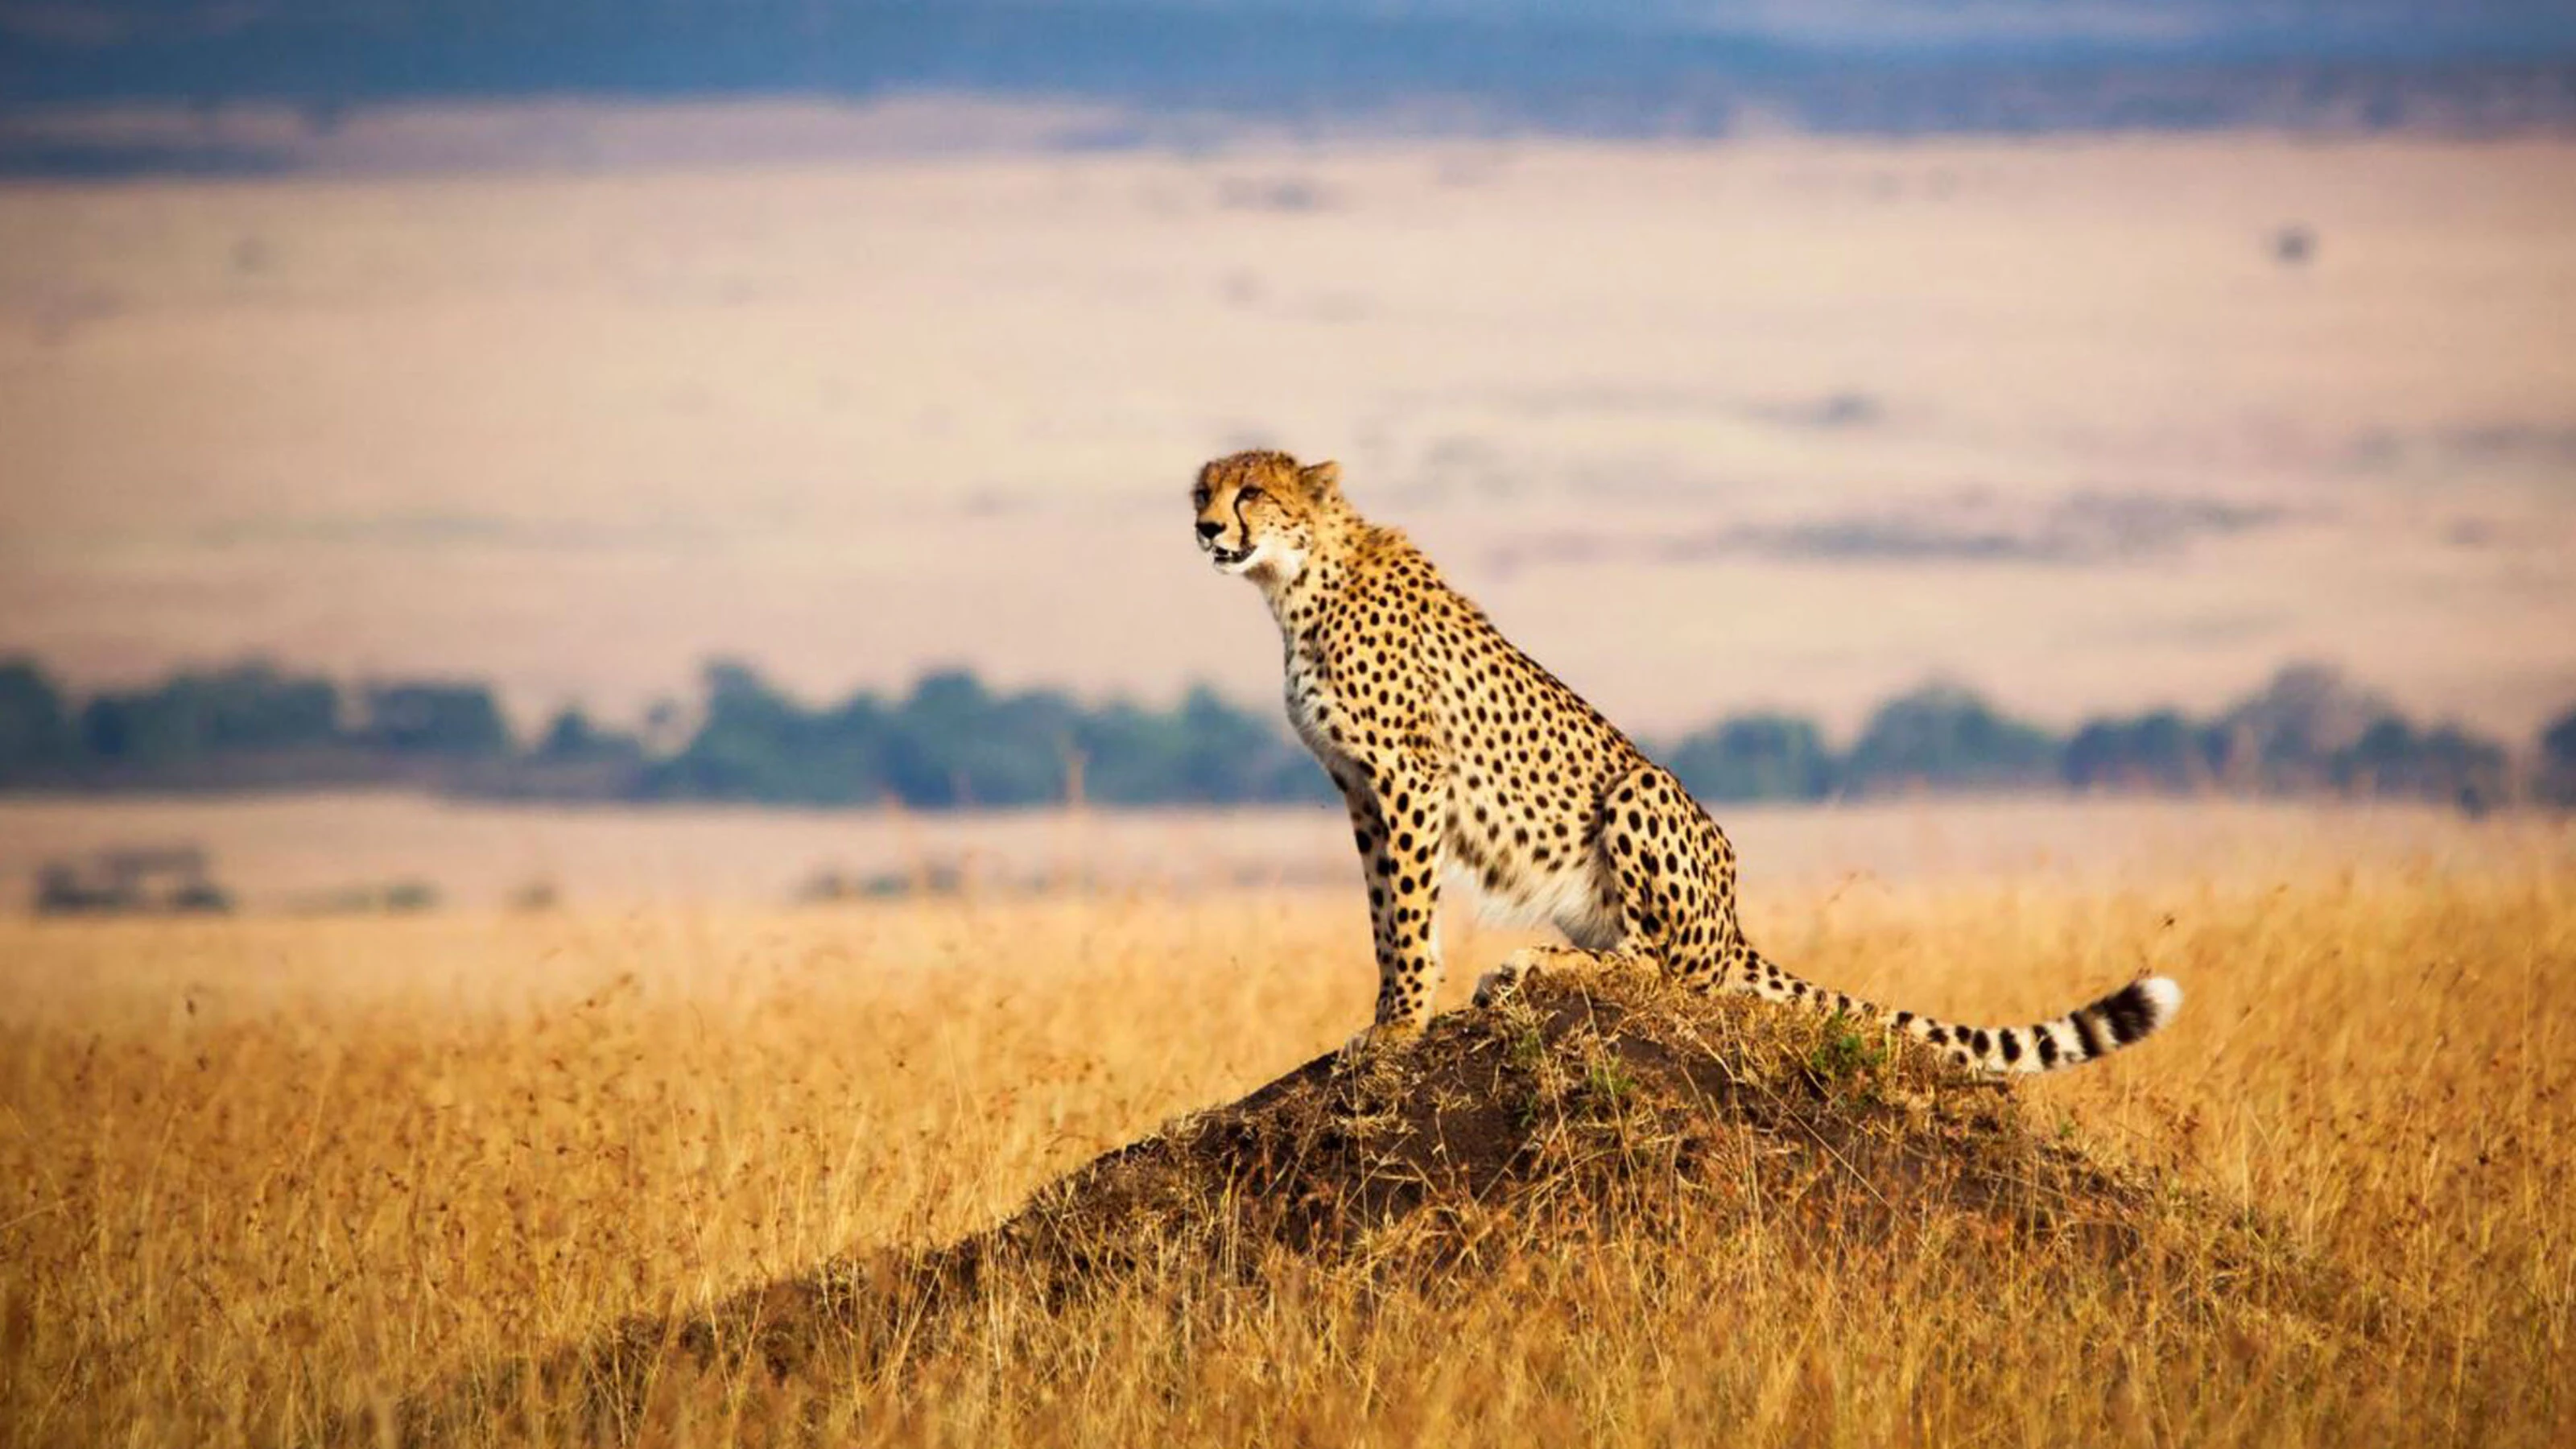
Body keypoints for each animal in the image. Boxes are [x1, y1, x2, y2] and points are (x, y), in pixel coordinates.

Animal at [1192, 448, 2182, 1072]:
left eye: (1251, 492)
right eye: (1201, 490)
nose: (1205, 529)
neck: (1295, 581)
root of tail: (1734, 920)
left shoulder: (1405, 778)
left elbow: (1404, 915)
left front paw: (1398, 1027)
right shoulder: (1358, 790)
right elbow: (1383, 914)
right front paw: (1389, 1014)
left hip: (1641, 789)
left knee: (1668, 969)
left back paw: (1533, 964)